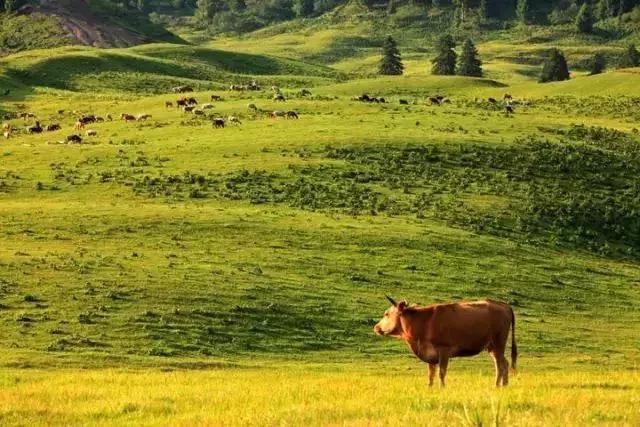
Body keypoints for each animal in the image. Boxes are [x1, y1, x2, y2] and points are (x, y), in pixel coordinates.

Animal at [376, 298, 516, 388]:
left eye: (386, 314)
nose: (376, 327)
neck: (424, 322)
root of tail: (504, 304)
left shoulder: (443, 350)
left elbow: (441, 373)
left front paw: (442, 388)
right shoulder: (430, 354)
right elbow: (431, 374)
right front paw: (429, 388)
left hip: (498, 343)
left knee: (500, 365)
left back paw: (496, 385)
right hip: (492, 347)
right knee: (505, 363)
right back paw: (505, 385)